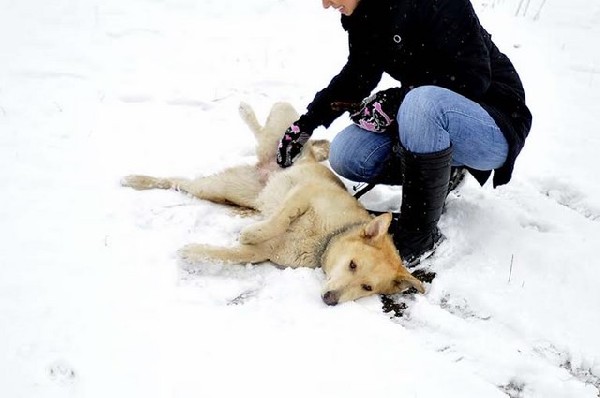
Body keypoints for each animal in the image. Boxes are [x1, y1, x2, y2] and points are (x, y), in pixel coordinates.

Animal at [120, 101, 422, 304]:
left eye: (367, 288)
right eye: (352, 265)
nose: (331, 300)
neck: (325, 240)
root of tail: (265, 168)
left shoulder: (262, 253)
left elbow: (227, 254)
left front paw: (195, 250)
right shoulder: (304, 193)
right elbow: (280, 218)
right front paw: (253, 231)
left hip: (223, 190)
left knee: (178, 182)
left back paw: (138, 180)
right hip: (282, 130)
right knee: (270, 128)